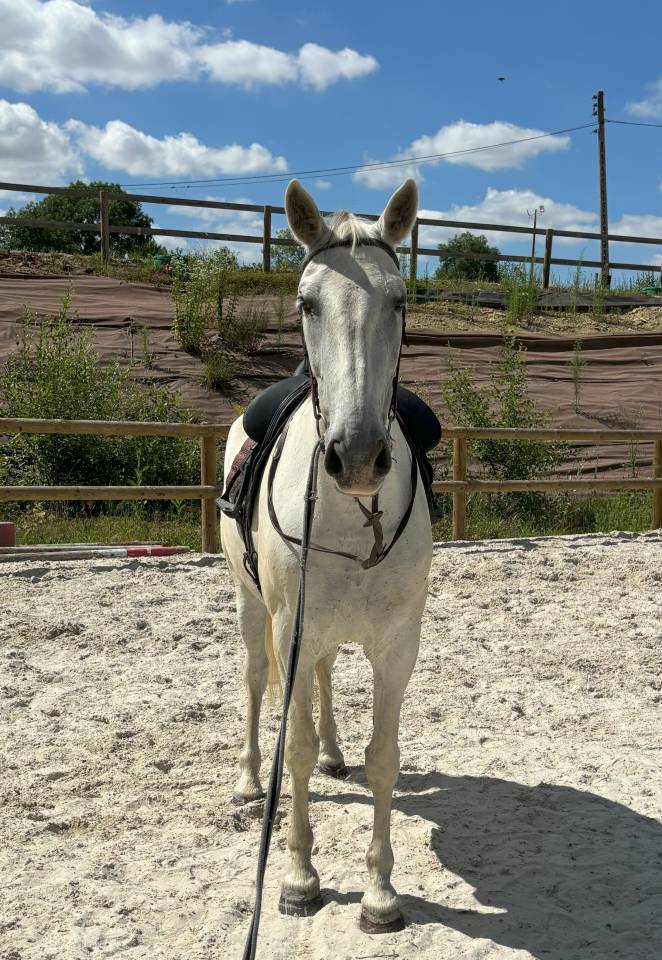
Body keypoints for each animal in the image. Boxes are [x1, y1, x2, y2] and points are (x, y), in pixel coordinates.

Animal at [221, 178, 433, 933]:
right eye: (308, 302)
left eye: (398, 300)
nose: (360, 456)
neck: (350, 512)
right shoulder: (291, 626)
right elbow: (297, 750)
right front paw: (299, 877)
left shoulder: (397, 643)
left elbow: (383, 757)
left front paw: (379, 892)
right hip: (254, 609)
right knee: (258, 684)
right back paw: (248, 780)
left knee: (324, 682)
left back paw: (337, 752)